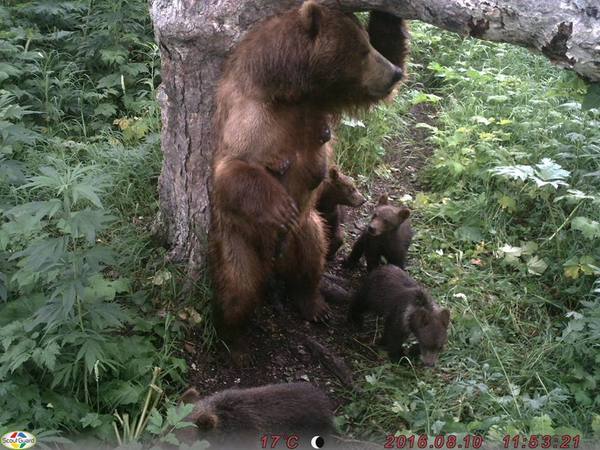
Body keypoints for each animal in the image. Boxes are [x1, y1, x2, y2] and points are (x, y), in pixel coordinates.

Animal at [209, 0, 410, 358]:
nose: (393, 74)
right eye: (361, 50)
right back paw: (234, 340)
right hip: (237, 238)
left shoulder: (326, 99)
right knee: (237, 287)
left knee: (310, 261)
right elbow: (233, 166)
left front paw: (387, 18)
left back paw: (314, 304)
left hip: (306, 231)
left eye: (368, 43)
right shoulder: (250, 115)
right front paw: (279, 206)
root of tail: (272, 262)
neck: (288, 90)